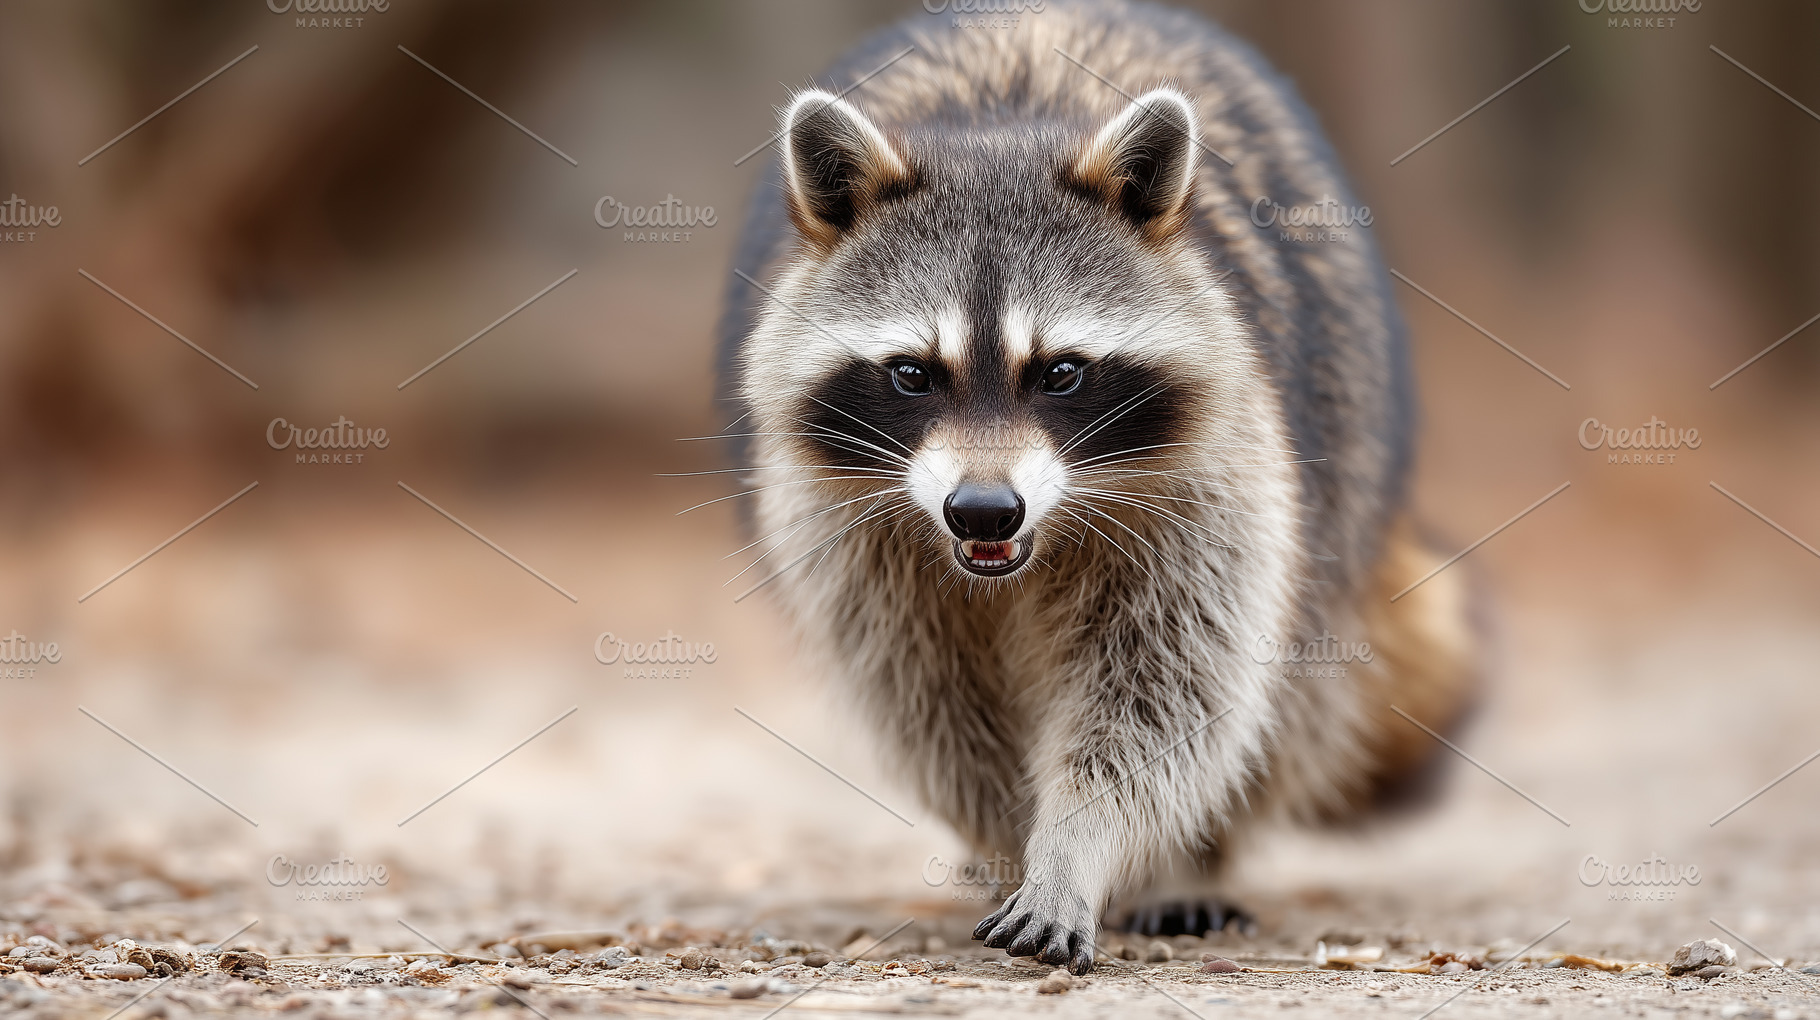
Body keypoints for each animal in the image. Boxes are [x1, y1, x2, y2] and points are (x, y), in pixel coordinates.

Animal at [717, 0, 1477, 974]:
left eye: (1062, 372)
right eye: (913, 375)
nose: (983, 508)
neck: (1000, 132)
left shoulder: (1214, 483)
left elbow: (1167, 693)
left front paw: (1080, 845)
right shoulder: (846, 526)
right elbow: (932, 707)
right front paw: (1015, 843)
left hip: (1343, 456)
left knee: (1285, 692)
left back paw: (1190, 864)